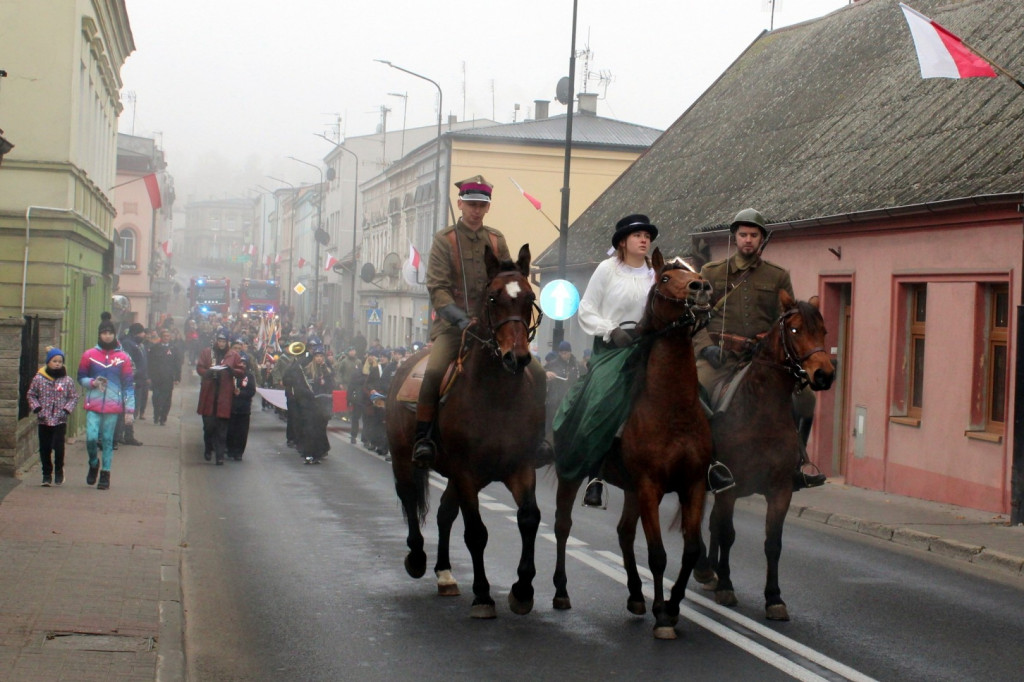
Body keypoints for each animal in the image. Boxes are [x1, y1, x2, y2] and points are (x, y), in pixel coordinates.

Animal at [382, 242, 544, 614]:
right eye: (493, 297)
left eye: (529, 297)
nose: (517, 358)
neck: (497, 396)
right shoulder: (466, 471)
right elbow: (476, 532)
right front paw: (483, 595)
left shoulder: (520, 467)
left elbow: (529, 517)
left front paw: (523, 590)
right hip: (404, 457)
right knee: (409, 497)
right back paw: (417, 558)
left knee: (444, 512)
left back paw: (445, 574)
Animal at [552, 248, 712, 638]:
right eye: (666, 278)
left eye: (693, 271)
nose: (702, 288)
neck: (673, 410)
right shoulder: (651, 486)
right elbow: (657, 554)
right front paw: (663, 618)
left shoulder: (692, 484)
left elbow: (690, 550)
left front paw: (671, 606)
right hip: (572, 473)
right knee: (563, 526)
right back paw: (561, 592)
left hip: (630, 488)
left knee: (624, 533)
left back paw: (638, 597)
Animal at [696, 288, 839, 618]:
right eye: (795, 330)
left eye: (823, 331)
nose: (823, 375)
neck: (761, 410)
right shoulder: (729, 488)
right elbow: (728, 534)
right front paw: (726, 586)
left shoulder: (780, 490)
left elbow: (773, 543)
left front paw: (774, 597)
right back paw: (707, 571)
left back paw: (709, 572)